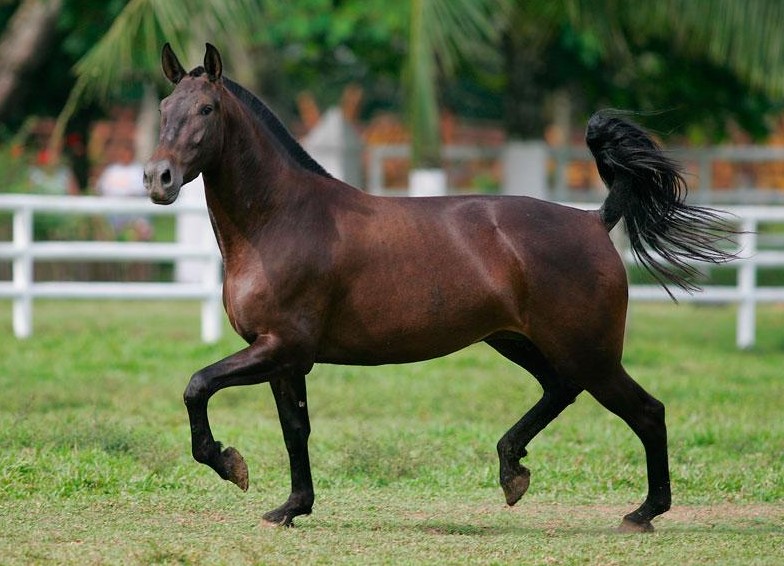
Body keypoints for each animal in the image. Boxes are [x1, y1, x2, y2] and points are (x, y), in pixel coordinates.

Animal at [143, 43, 734, 532]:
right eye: (164, 109)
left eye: (207, 110)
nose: (158, 179)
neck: (281, 220)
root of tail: (593, 221)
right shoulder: (285, 358)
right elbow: (295, 430)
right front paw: (291, 507)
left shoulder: (281, 348)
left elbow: (197, 386)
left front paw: (230, 464)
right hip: (520, 341)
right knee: (560, 391)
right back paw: (513, 472)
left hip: (590, 354)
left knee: (647, 411)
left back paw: (642, 512)